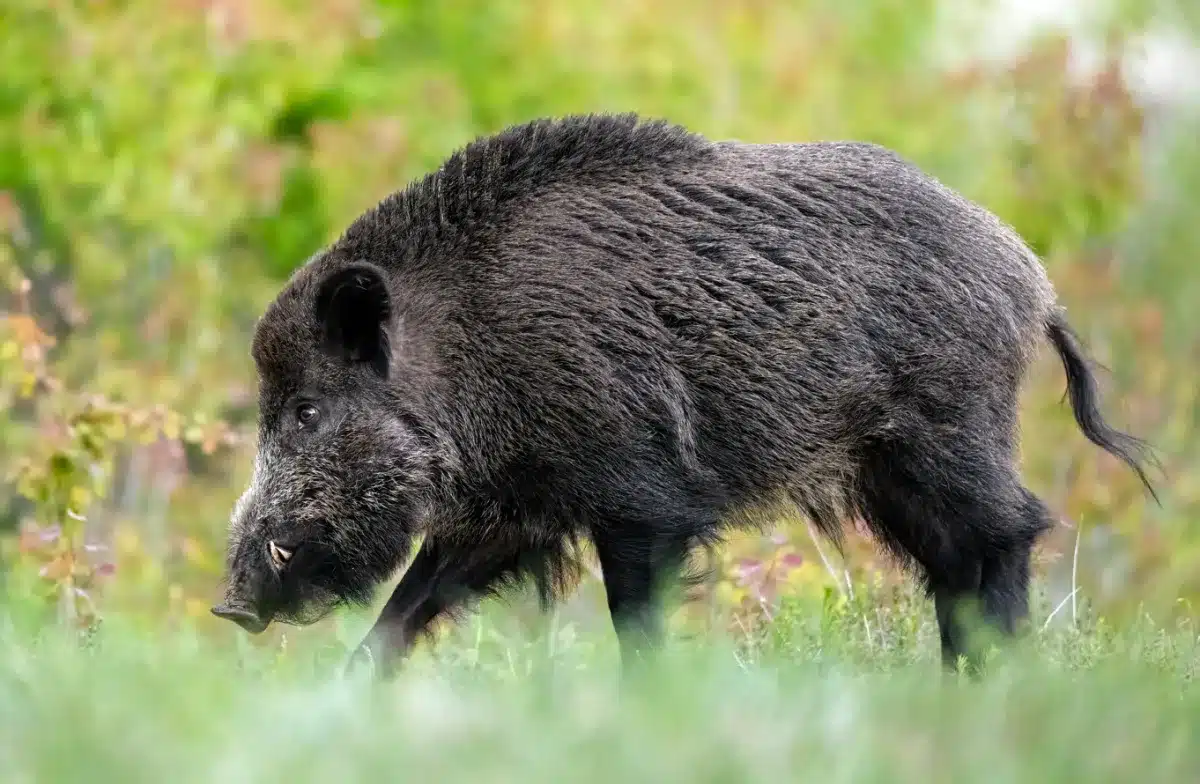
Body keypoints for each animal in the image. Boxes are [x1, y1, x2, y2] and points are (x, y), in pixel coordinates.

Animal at [211, 113, 1157, 677]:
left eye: (306, 410)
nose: (230, 603)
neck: (467, 350)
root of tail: (1029, 276)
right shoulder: (510, 512)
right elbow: (407, 609)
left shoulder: (642, 498)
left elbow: (635, 617)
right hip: (888, 467)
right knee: (954, 561)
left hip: (943, 428)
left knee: (1009, 531)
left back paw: (997, 675)